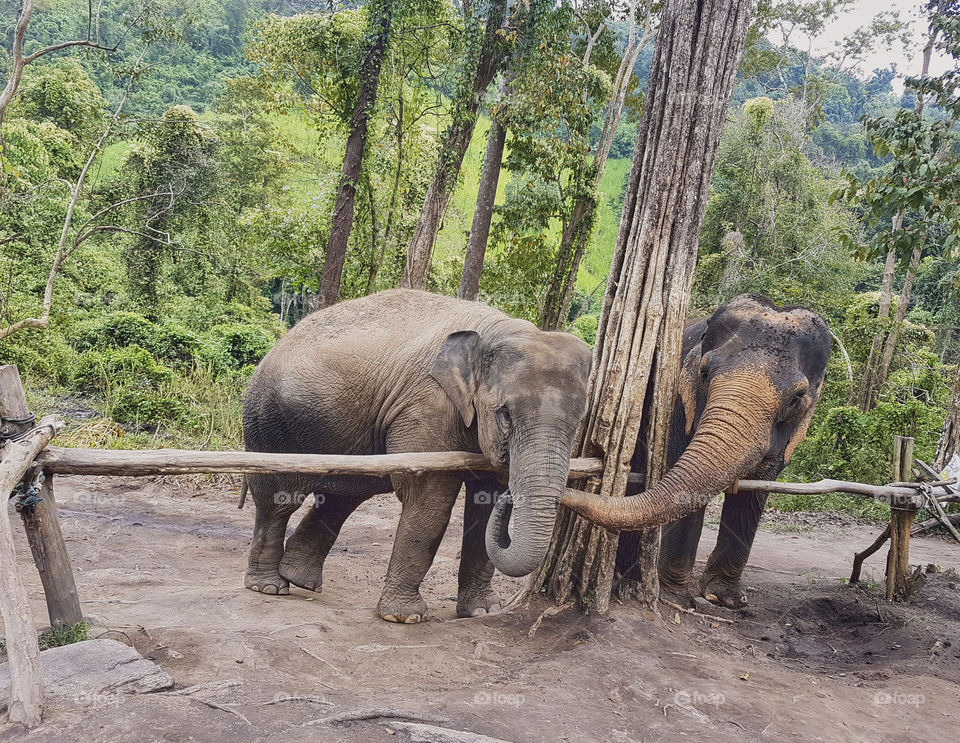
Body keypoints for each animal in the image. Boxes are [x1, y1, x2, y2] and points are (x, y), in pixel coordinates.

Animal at [242, 288, 592, 623]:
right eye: (505, 414)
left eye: (579, 422)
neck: (492, 330)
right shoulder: (427, 406)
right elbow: (429, 498)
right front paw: (404, 617)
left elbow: (484, 502)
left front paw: (483, 612)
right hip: (268, 425)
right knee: (280, 500)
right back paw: (270, 587)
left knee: (342, 497)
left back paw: (300, 580)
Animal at [563, 294, 831, 609]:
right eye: (703, 372)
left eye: (797, 398)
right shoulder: (676, 406)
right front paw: (675, 596)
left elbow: (754, 493)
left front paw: (726, 598)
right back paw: (625, 578)